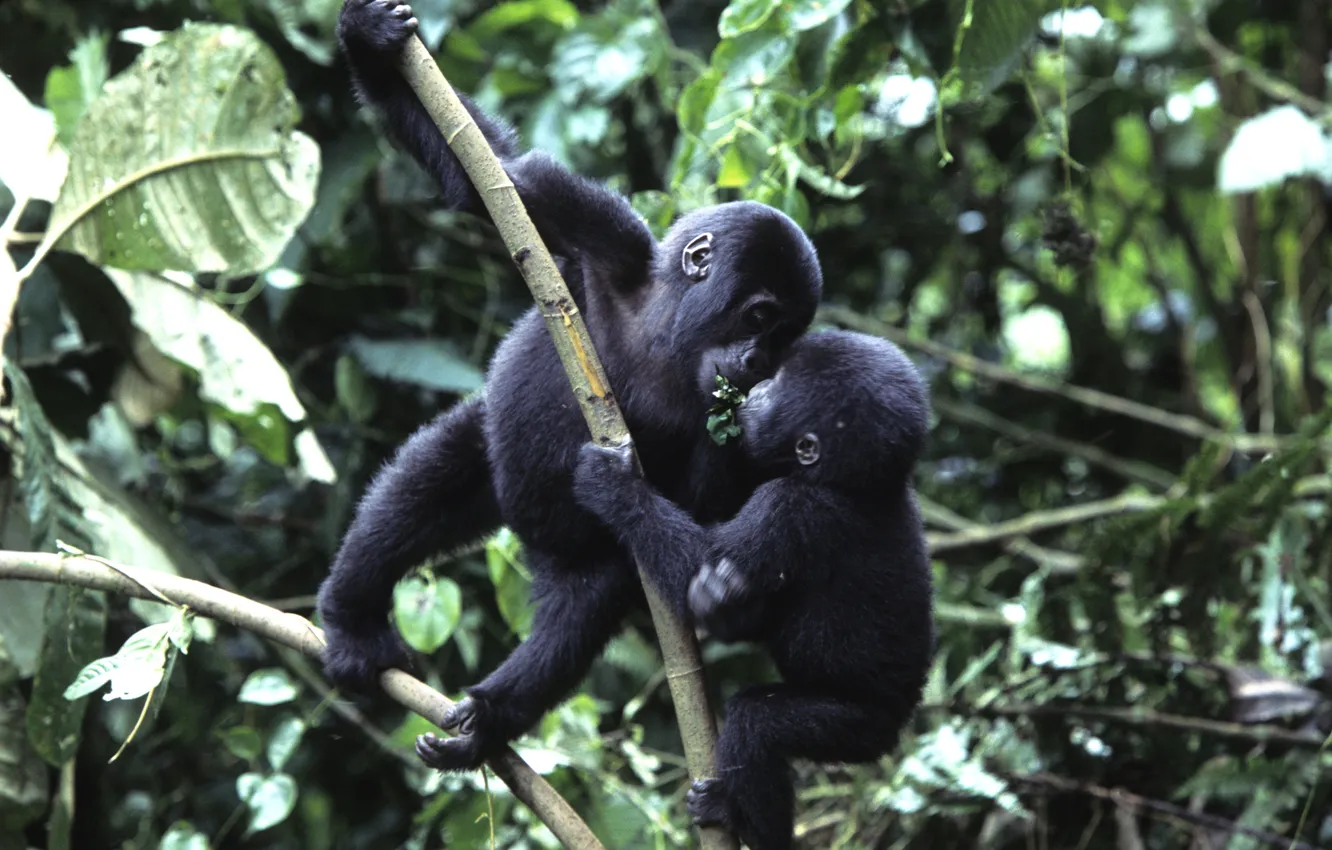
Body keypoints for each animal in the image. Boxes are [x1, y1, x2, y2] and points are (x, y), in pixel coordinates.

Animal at [319, 0, 820, 778]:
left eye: (786, 337)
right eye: (761, 317)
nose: (757, 363)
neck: (664, 336)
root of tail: (526, 535)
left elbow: (714, 540)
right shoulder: (599, 231)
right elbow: (494, 180)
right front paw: (368, 41)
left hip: (570, 551)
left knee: (588, 597)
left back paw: (491, 719)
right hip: (495, 472)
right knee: (428, 481)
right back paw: (353, 620)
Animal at [572, 330, 937, 847]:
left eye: (779, 386)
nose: (758, 386)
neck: (853, 484)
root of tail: (903, 717)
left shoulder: (787, 507)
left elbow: (702, 570)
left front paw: (613, 486)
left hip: (858, 726)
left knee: (757, 725)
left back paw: (739, 818)